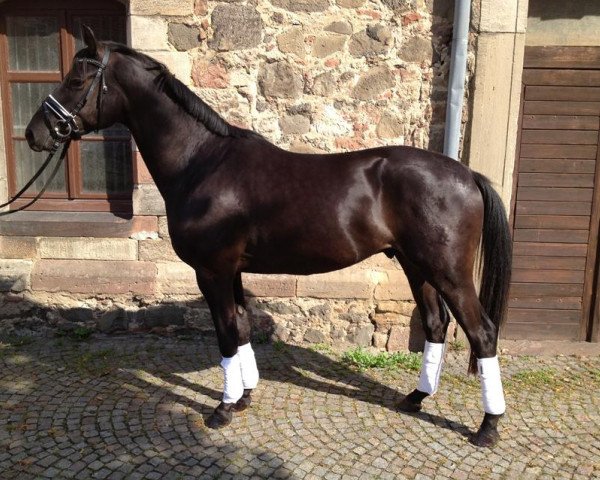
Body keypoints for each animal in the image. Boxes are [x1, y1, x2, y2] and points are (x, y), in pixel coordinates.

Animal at [24, 26, 510, 446]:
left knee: (482, 333)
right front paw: (244, 397)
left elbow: (225, 333)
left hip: (448, 272)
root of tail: (467, 174)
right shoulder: (232, 271)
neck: (202, 163)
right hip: (415, 265)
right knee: (436, 325)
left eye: (75, 79)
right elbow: (240, 327)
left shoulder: (212, 271)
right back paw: (416, 398)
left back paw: (487, 427)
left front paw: (222, 408)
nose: (34, 134)